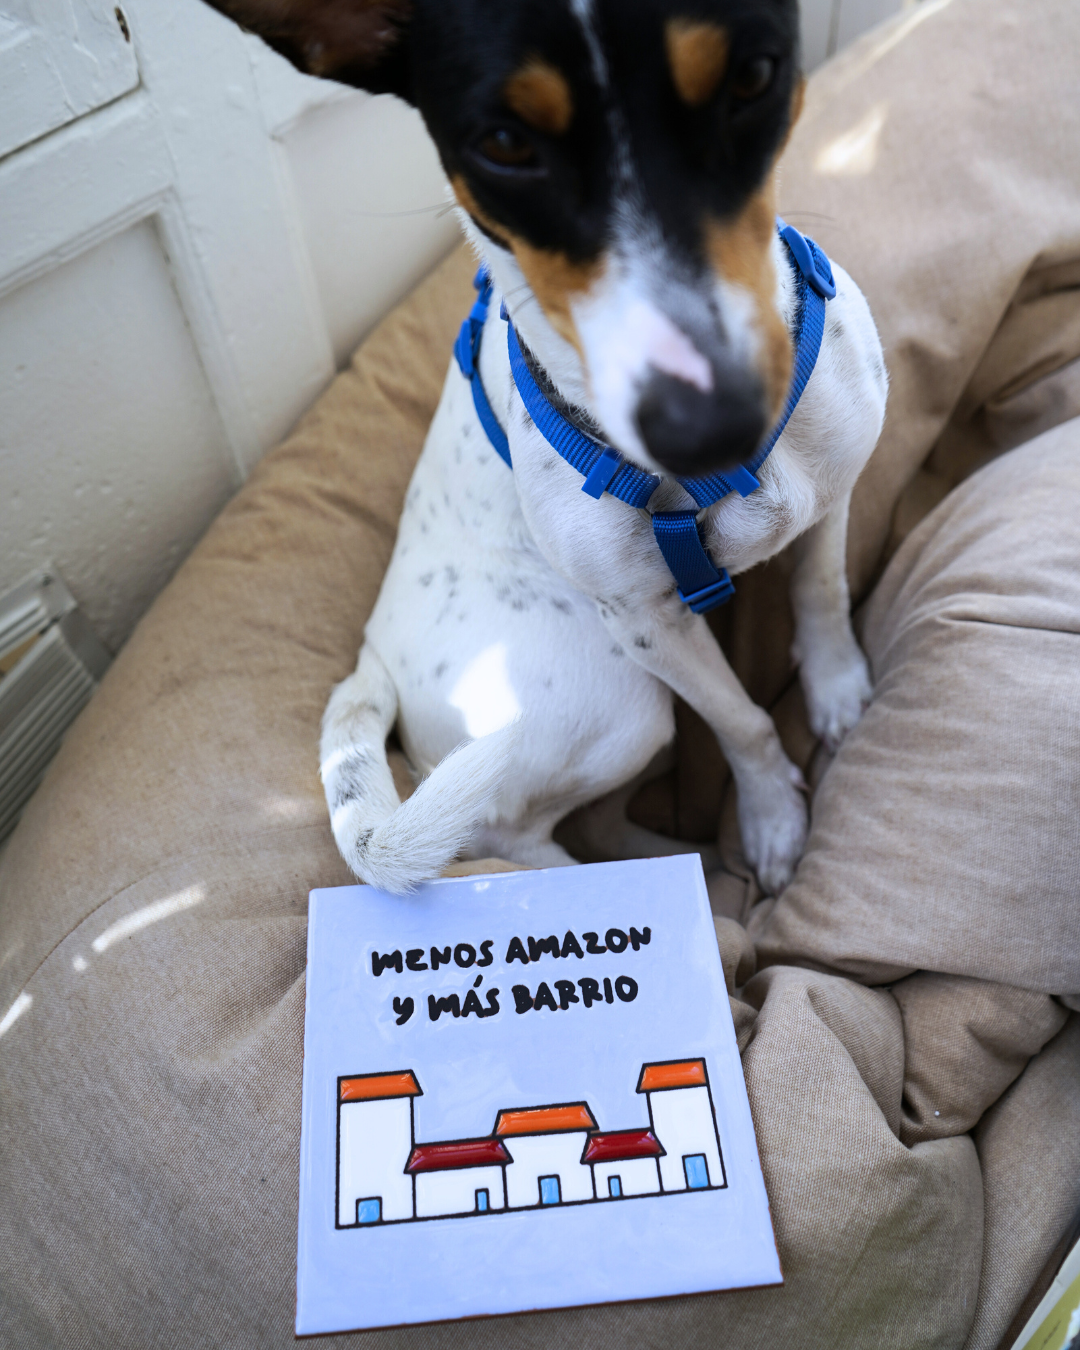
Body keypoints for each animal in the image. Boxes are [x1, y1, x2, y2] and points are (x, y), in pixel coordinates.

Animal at [206, 0, 887, 895]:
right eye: (503, 145)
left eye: (751, 77)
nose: (710, 424)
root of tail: (370, 657)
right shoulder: (650, 628)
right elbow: (742, 722)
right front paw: (773, 816)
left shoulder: (833, 490)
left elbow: (822, 591)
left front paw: (837, 688)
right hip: (618, 705)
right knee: (514, 835)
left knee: (595, 821)